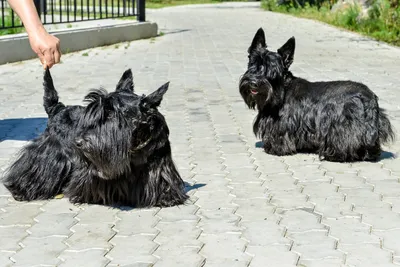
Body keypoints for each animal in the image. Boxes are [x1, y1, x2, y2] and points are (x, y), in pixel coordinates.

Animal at [1, 68, 188, 208]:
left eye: (112, 114)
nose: (78, 142)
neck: (136, 144)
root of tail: (57, 109)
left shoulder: (159, 163)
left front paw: (166, 198)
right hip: (50, 153)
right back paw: (20, 190)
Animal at [241, 28, 394, 163]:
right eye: (253, 64)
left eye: (273, 70)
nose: (254, 83)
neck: (282, 89)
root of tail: (369, 97)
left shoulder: (282, 124)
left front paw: (275, 148)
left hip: (342, 126)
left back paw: (333, 155)